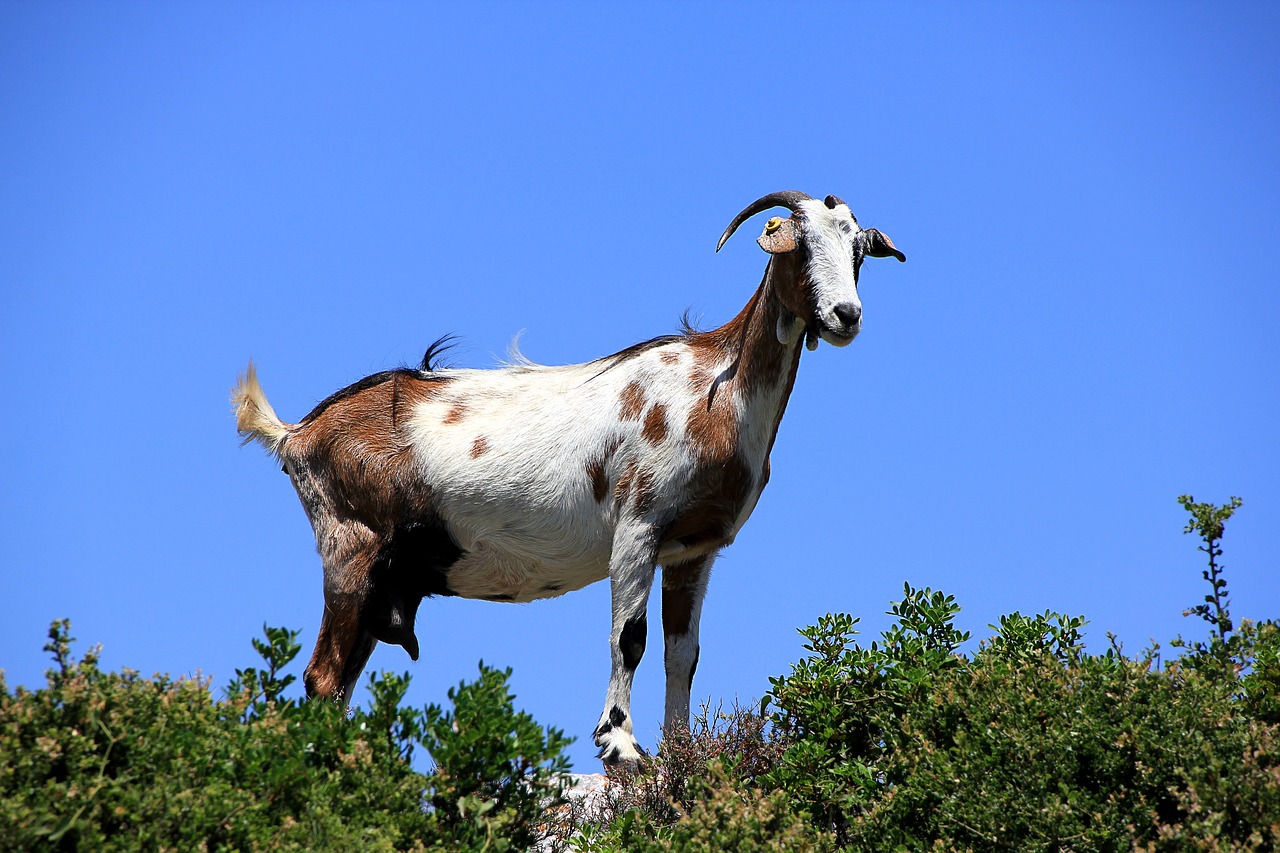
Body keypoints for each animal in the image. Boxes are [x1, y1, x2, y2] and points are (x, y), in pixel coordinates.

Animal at [232, 189, 911, 758]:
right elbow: (630, 638)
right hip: (351, 550)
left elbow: (682, 655)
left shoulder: (695, 549)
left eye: (858, 251)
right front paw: (621, 746)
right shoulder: (638, 527)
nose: (846, 315)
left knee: (341, 681)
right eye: (801, 243)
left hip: (385, 577)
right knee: (322, 678)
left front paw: (681, 757)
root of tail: (296, 433)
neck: (716, 389)